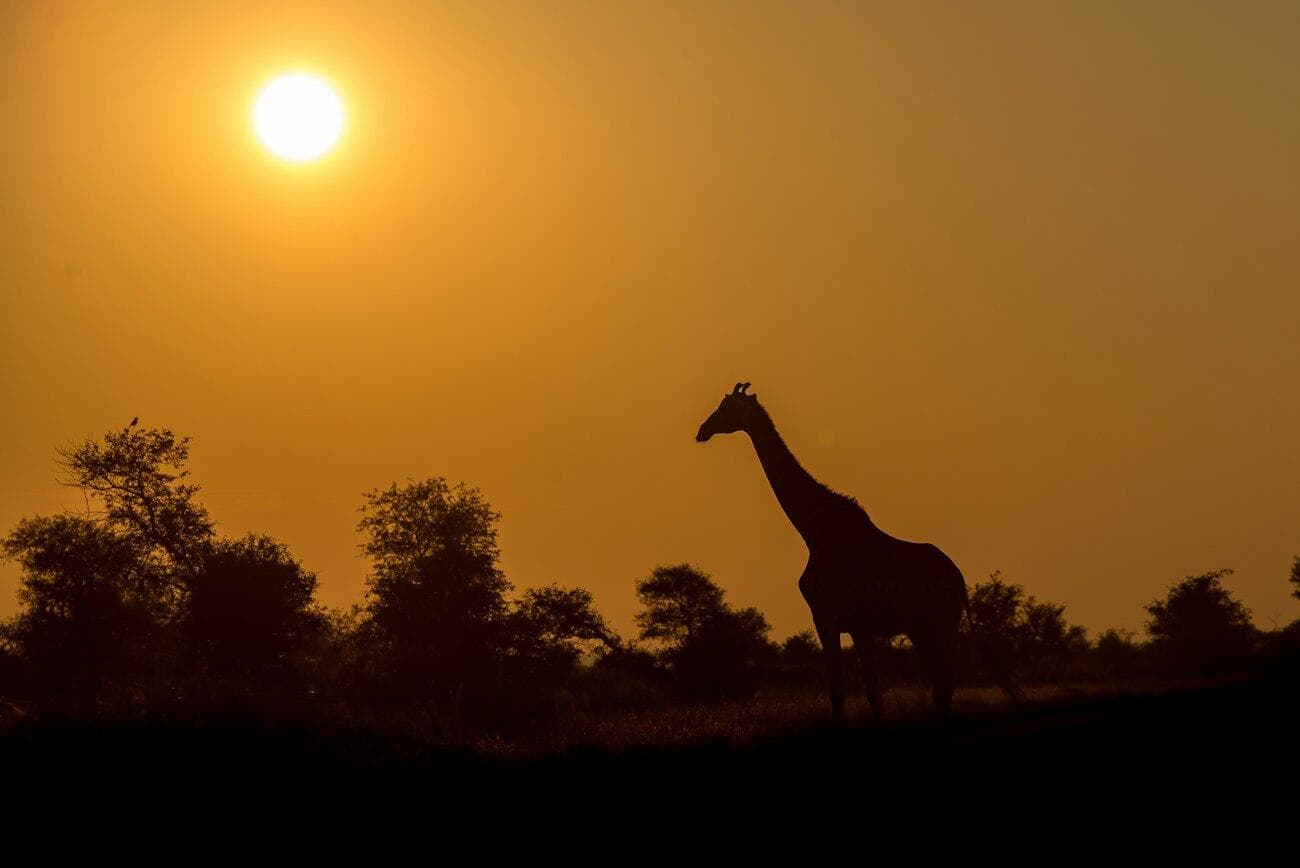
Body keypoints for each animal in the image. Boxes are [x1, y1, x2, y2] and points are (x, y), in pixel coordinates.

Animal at [695, 382, 1022, 723]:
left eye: (727, 407)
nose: (702, 430)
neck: (814, 533)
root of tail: (958, 579)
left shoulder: (827, 617)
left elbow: (843, 692)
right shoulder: (857, 627)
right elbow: (870, 693)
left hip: (941, 624)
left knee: (944, 681)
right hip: (922, 628)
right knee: (940, 682)